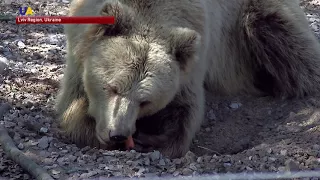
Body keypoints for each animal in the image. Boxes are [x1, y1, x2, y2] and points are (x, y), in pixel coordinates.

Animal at [56, 0, 320, 158]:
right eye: (112, 88)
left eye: (145, 101)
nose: (118, 134)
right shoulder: (79, 56)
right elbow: (72, 109)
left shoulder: (194, 60)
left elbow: (185, 112)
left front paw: (155, 140)